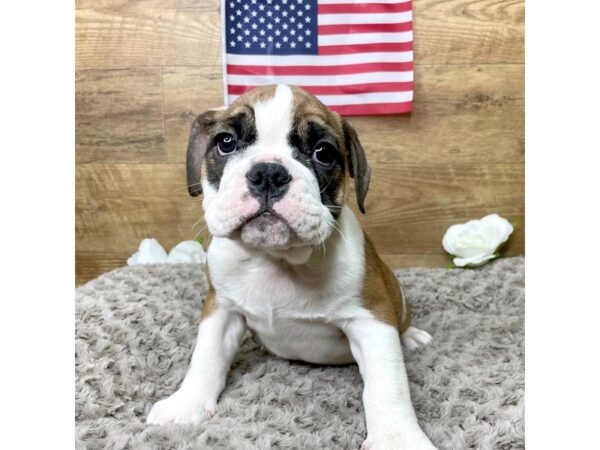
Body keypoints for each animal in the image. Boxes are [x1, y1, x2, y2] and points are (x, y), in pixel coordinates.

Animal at [145, 85, 436, 450]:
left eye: (323, 152)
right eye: (225, 142)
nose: (268, 173)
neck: (277, 259)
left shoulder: (372, 321)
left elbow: (387, 385)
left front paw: (398, 438)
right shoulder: (221, 309)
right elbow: (206, 357)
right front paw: (187, 406)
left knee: (403, 322)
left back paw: (412, 336)